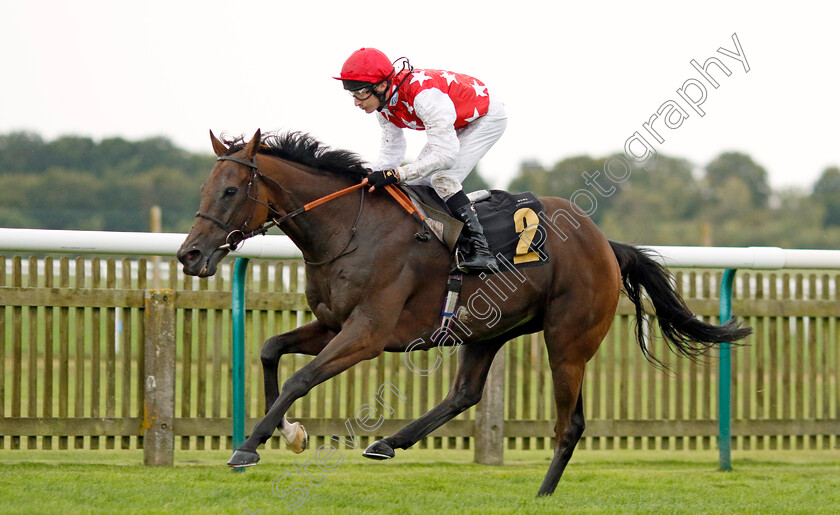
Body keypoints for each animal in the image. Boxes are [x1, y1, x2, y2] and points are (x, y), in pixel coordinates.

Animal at [176, 129, 748, 496]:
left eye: (231, 190)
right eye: (204, 188)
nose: (189, 255)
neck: (350, 228)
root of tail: (605, 243)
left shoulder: (367, 333)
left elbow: (302, 377)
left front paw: (249, 447)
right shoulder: (334, 323)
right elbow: (271, 350)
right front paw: (287, 433)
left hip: (568, 340)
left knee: (569, 423)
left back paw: (541, 494)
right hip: (487, 328)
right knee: (466, 392)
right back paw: (389, 443)